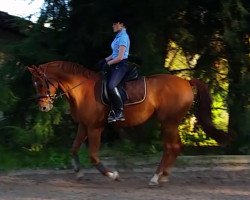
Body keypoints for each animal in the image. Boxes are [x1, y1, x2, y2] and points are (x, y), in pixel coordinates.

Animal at [28, 60, 229, 185]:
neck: (82, 90)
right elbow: (74, 149)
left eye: (41, 83)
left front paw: (112, 175)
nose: (43, 107)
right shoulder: (83, 126)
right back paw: (162, 176)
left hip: (168, 122)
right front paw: (79, 172)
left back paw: (156, 178)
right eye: (34, 84)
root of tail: (186, 82)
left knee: (171, 147)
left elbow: (93, 156)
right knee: (175, 147)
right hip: (169, 123)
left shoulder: (94, 128)